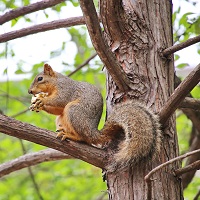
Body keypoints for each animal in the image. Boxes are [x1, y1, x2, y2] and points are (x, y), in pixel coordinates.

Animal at [28, 63, 162, 171]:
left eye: (40, 78)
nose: (30, 91)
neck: (55, 82)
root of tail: (93, 132)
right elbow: (58, 109)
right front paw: (38, 104)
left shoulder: (66, 89)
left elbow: (60, 100)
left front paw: (42, 100)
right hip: (62, 119)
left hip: (74, 111)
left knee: (83, 138)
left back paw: (71, 136)